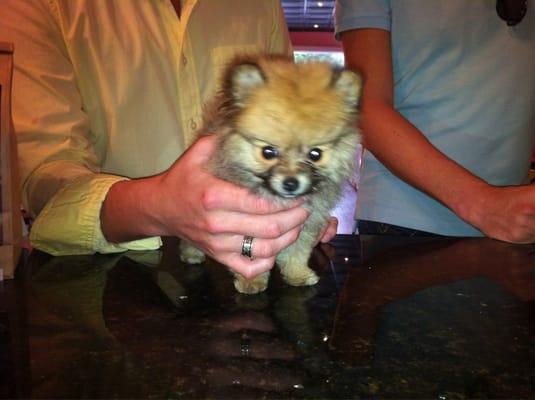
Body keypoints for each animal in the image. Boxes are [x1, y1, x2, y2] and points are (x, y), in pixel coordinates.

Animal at [181, 54, 364, 294]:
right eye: (268, 152)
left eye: (315, 154)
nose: (291, 183)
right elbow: (249, 255)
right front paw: (251, 281)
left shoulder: (308, 223)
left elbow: (297, 253)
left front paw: (297, 274)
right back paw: (191, 254)